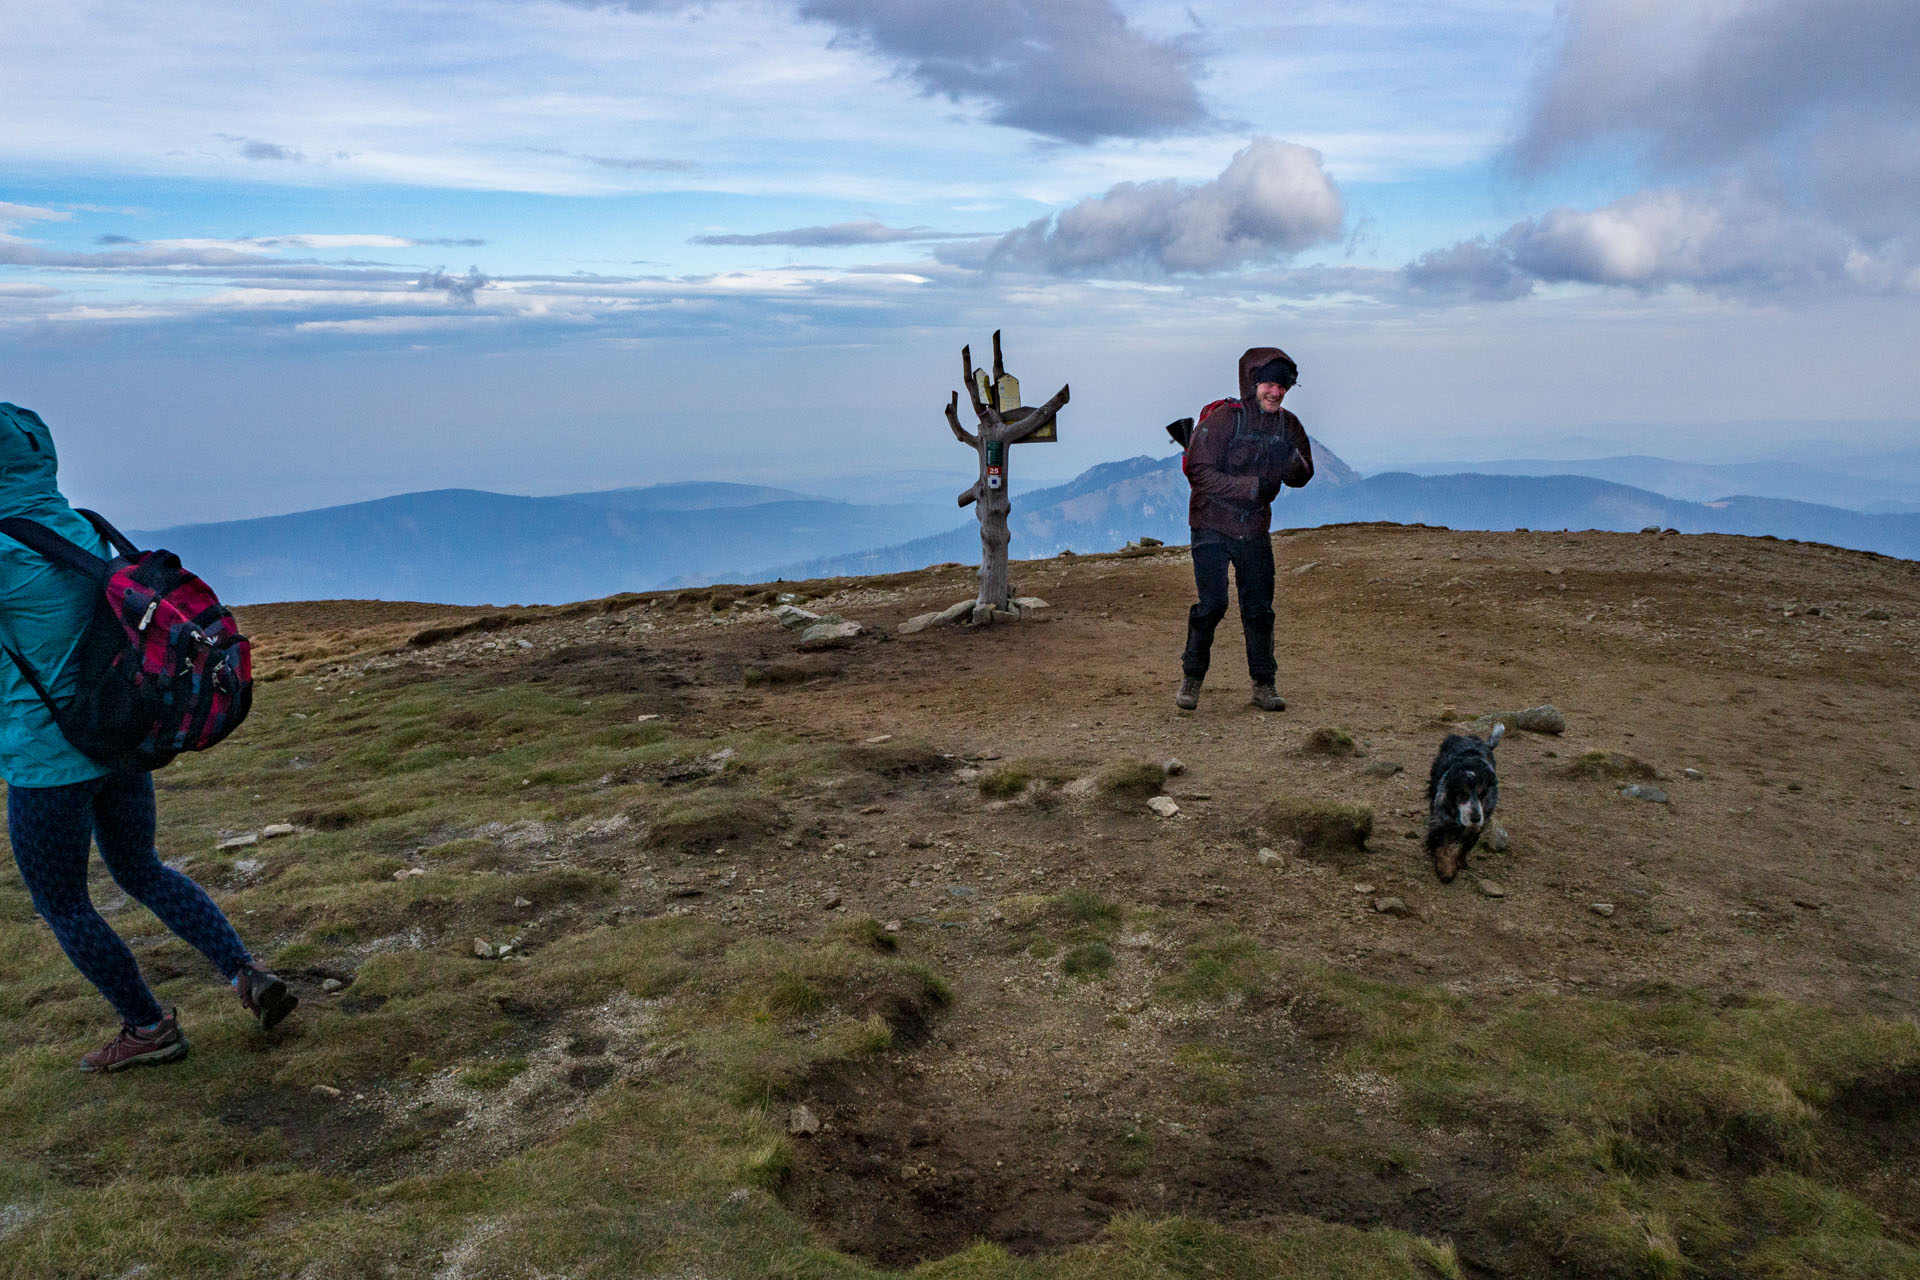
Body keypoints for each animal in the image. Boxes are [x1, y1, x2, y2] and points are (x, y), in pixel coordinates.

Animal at [1420, 725, 1505, 886]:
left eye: (1483, 793)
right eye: (1462, 793)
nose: (1475, 818)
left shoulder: (1479, 821)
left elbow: (1465, 844)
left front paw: (1457, 863)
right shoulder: (1440, 818)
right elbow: (1442, 845)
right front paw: (1446, 871)